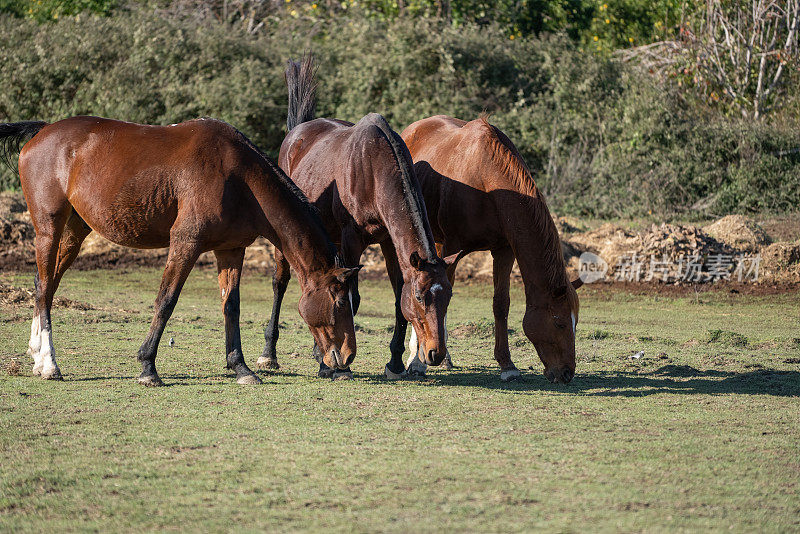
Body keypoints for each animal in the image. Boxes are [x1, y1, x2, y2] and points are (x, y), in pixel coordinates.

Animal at [0, 117, 356, 388]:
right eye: (340, 302)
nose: (349, 355)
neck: (237, 178)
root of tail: (44, 131)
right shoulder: (186, 243)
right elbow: (166, 301)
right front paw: (148, 368)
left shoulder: (231, 250)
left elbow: (231, 307)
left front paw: (240, 367)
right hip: (48, 229)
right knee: (45, 288)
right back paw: (49, 363)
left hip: (75, 231)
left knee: (44, 285)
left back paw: (36, 354)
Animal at [256, 58, 456, 382]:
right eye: (420, 296)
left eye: (447, 297)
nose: (435, 354)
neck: (375, 170)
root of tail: (298, 131)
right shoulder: (352, 239)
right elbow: (351, 298)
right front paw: (341, 365)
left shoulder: (389, 243)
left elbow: (395, 298)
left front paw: (394, 362)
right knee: (280, 283)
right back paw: (270, 354)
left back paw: (320, 352)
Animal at [400, 116, 580, 386]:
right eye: (559, 324)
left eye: (575, 323)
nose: (567, 373)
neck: (485, 181)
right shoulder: (451, 248)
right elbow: (437, 303)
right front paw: (420, 362)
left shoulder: (504, 250)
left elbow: (501, 305)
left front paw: (507, 365)